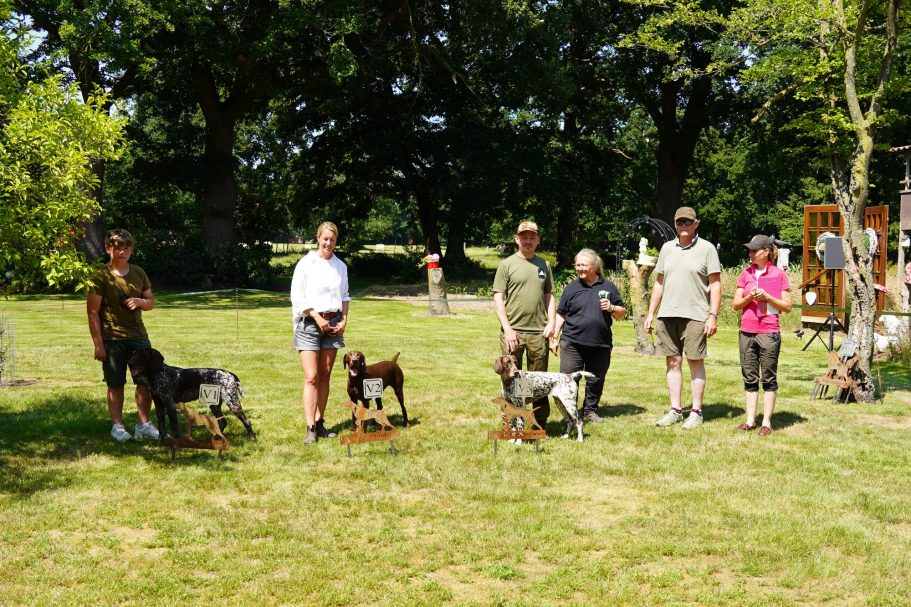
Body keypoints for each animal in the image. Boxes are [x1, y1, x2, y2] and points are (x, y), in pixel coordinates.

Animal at [127, 347, 256, 442]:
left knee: (246, 421)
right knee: (223, 422)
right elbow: (161, 427)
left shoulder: (169, 404)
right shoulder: (159, 405)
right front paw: (160, 441)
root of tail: (230, 375)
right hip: (215, 405)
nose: (130, 363)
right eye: (133, 353)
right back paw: (216, 438)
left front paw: (175, 443)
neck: (156, 374)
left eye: (143, 355)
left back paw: (252, 438)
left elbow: (174, 426)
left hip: (233, 403)